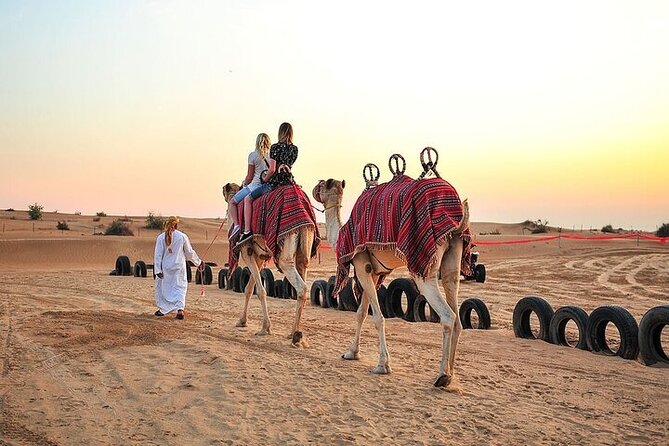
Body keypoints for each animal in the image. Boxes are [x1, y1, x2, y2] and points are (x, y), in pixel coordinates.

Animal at [312, 173, 470, 387]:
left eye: (322, 185)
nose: (313, 188)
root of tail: (457, 221)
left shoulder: (361, 265)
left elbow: (378, 318)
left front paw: (382, 365)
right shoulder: (373, 273)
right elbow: (361, 313)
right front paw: (351, 353)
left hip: (425, 266)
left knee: (448, 316)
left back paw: (441, 376)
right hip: (453, 256)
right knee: (455, 306)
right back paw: (451, 375)